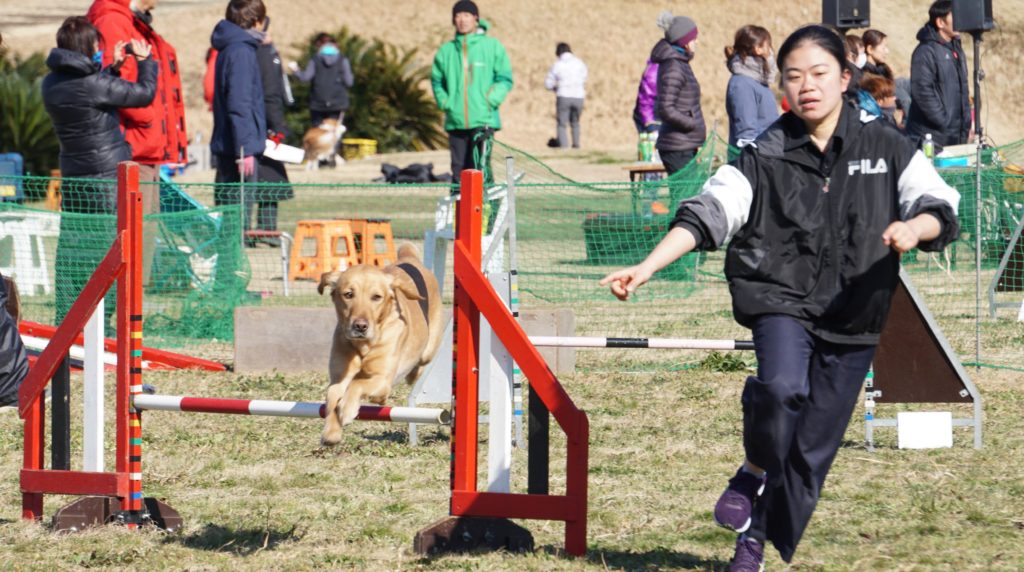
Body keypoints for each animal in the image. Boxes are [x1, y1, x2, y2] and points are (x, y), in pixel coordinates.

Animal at [313, 242, 442, 448]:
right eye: (348, 294)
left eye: (376, 297)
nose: (360, 326)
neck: (363, 346)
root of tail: (408, 257)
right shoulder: (339, 378)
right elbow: (332, 397)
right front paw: (331, 433)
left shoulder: (382, 379)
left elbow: (356, 384)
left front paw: (347, 409)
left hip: (428, 350)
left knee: (420, 365)